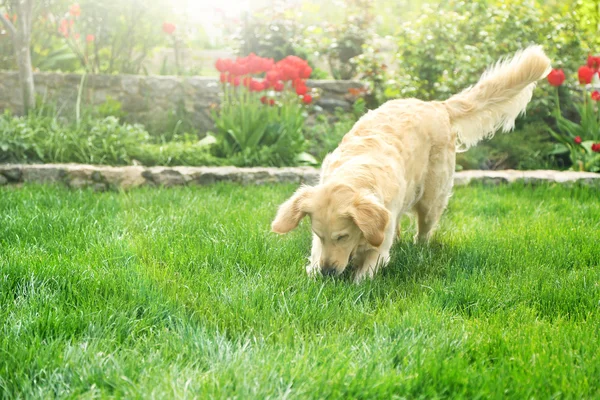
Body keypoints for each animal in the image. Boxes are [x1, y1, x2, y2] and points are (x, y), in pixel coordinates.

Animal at [270, 46, 552, 282]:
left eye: (343, 236)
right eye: (318, 235)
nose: (328, 273)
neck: (356, 171)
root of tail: (437, 105)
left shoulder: (378, 248)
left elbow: (364, 274)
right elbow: (314, 262)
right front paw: (313, 278)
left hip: (431, 198)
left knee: (424, 231)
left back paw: (420, 250)